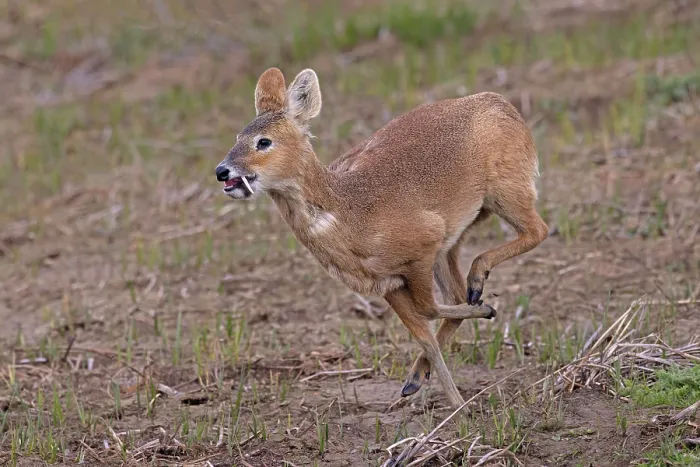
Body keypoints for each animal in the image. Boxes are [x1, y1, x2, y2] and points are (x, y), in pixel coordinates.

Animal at [214, 67, 548, 411]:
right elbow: (426, 335)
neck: (352, 215)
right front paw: (451, 401)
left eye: (264, 141)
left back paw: (478, 283)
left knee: (537, 230)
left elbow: (429, 309)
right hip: (457, 235)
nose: (222, 171)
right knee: (457, 292)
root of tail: (502, 104)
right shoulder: (386, 282)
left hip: (507, 190)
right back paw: (420, 372)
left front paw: (485, 314)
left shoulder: (422, 248)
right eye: (237, 137)